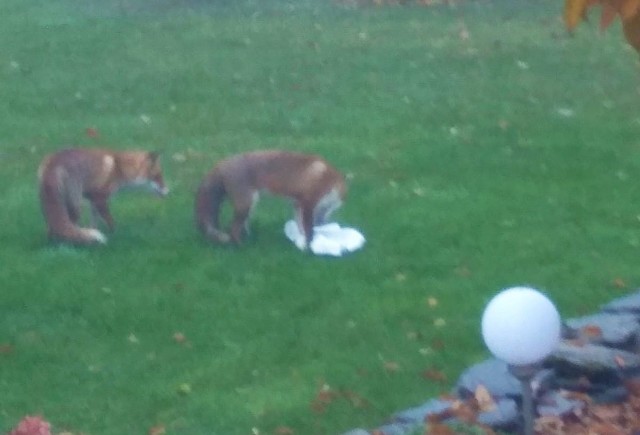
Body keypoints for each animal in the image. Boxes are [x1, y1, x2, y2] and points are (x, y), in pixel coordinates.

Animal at [37, 149, 168, 245]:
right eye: (158, 176)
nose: (168, 191)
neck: (119, 168)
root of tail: (52, 163)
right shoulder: (100, 199)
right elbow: (110, 222)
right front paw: (114, 235)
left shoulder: (93, 200)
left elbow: (94, 222)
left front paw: (94, 231)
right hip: (76, 205)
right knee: (67, 227)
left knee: (51, 228)